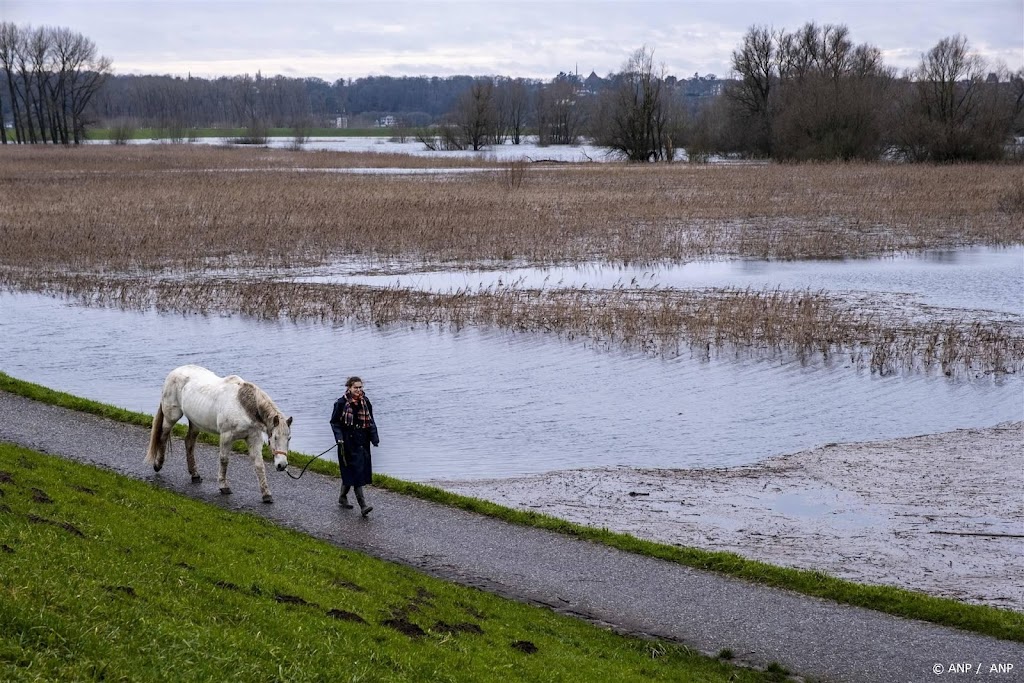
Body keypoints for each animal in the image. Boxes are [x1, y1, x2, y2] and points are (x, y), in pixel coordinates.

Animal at [142, 366, 292, 505]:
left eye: (289, 439)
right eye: (275, 438)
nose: (282, 465)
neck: (242, 405)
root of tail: (173, 372)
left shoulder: (253, 438)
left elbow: (259, 465)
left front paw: (266, 494)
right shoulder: (226, 436)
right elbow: (224, 460)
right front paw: (223, 487)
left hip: (195, 422)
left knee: (189, 442)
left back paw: (195, 475)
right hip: (171, 416)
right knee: (163, 436)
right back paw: (158, 464)